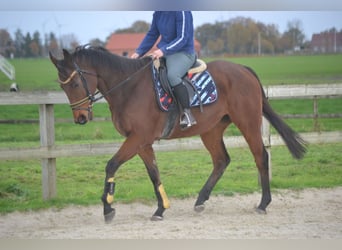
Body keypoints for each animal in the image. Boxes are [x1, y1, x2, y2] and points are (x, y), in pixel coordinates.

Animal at [48, 46, 308, 224]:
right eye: (62, 86)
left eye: (74, 84)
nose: (80, 118)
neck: (128, 88)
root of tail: (243, 69)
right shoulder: (142, 143)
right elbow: (153, 173)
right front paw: (161, 208)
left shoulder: (137, 139)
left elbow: (111, 165)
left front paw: (108, 207)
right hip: (211, 130)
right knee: (221, 160)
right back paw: (201, 200)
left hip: (248, 123)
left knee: (260, 156)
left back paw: (263, 203)